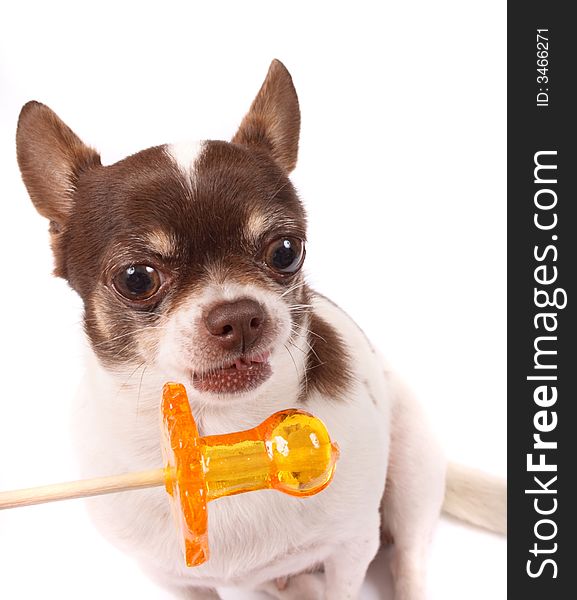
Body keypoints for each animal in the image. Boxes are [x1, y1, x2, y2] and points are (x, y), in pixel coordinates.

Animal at [14, 57, 504, 600]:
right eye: (136, 278)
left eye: (287, 251)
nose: (237, 315)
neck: (226, 439)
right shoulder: (188, 578)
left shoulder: (353, 546)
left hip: (413, 463)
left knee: (410, 555)